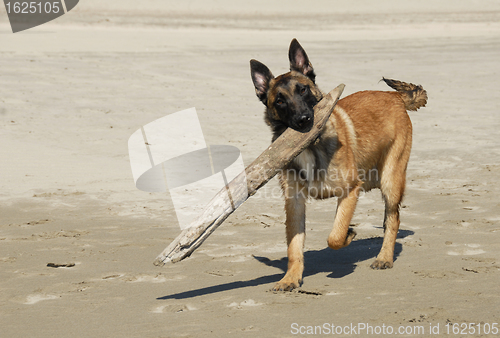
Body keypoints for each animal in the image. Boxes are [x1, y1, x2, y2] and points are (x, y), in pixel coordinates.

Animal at [249, 37, 426, 290]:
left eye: (303, 89)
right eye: (280, 101)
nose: (304, 120)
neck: (311, 147)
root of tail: (394, 97)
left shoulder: (350, 191)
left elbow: (335, 235)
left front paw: (349, 234)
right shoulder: (294, 203)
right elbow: (294, 247)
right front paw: (291, 278)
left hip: (391, 180)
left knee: (393, 219)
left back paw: (384, 257)